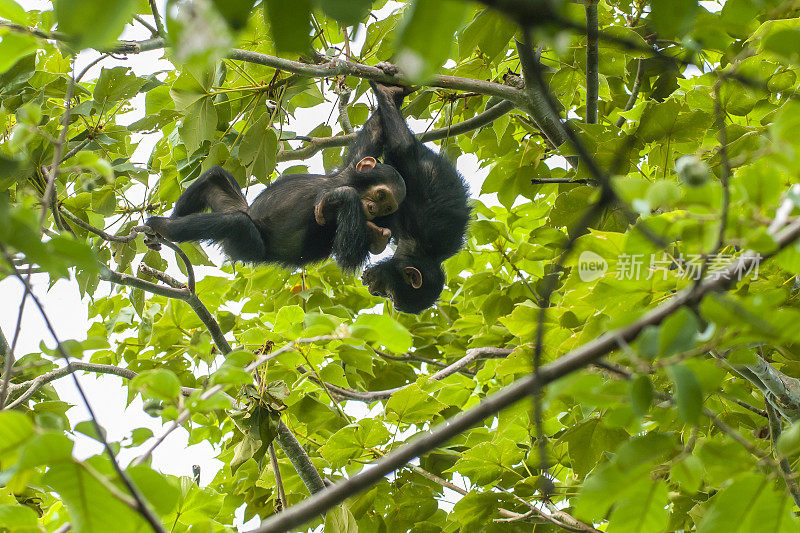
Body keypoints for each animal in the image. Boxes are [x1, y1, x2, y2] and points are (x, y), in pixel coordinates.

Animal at [145, 121, 406, 270]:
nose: (372, 209)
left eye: (387, 208)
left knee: (234, 222)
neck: (340, 180)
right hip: (234, 204)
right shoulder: (353, 164)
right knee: (214, 176)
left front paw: (344, 195)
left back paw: (165, 227)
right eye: (381, 196)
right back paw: (161, 230)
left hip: (246, 246)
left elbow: (348, 254)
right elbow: (372, 134)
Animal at [360, 80, 472, 314]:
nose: (374, 292)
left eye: (390, 296)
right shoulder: (424, 225)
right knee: (403, 146)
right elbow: (402, 147)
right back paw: (389, 94)